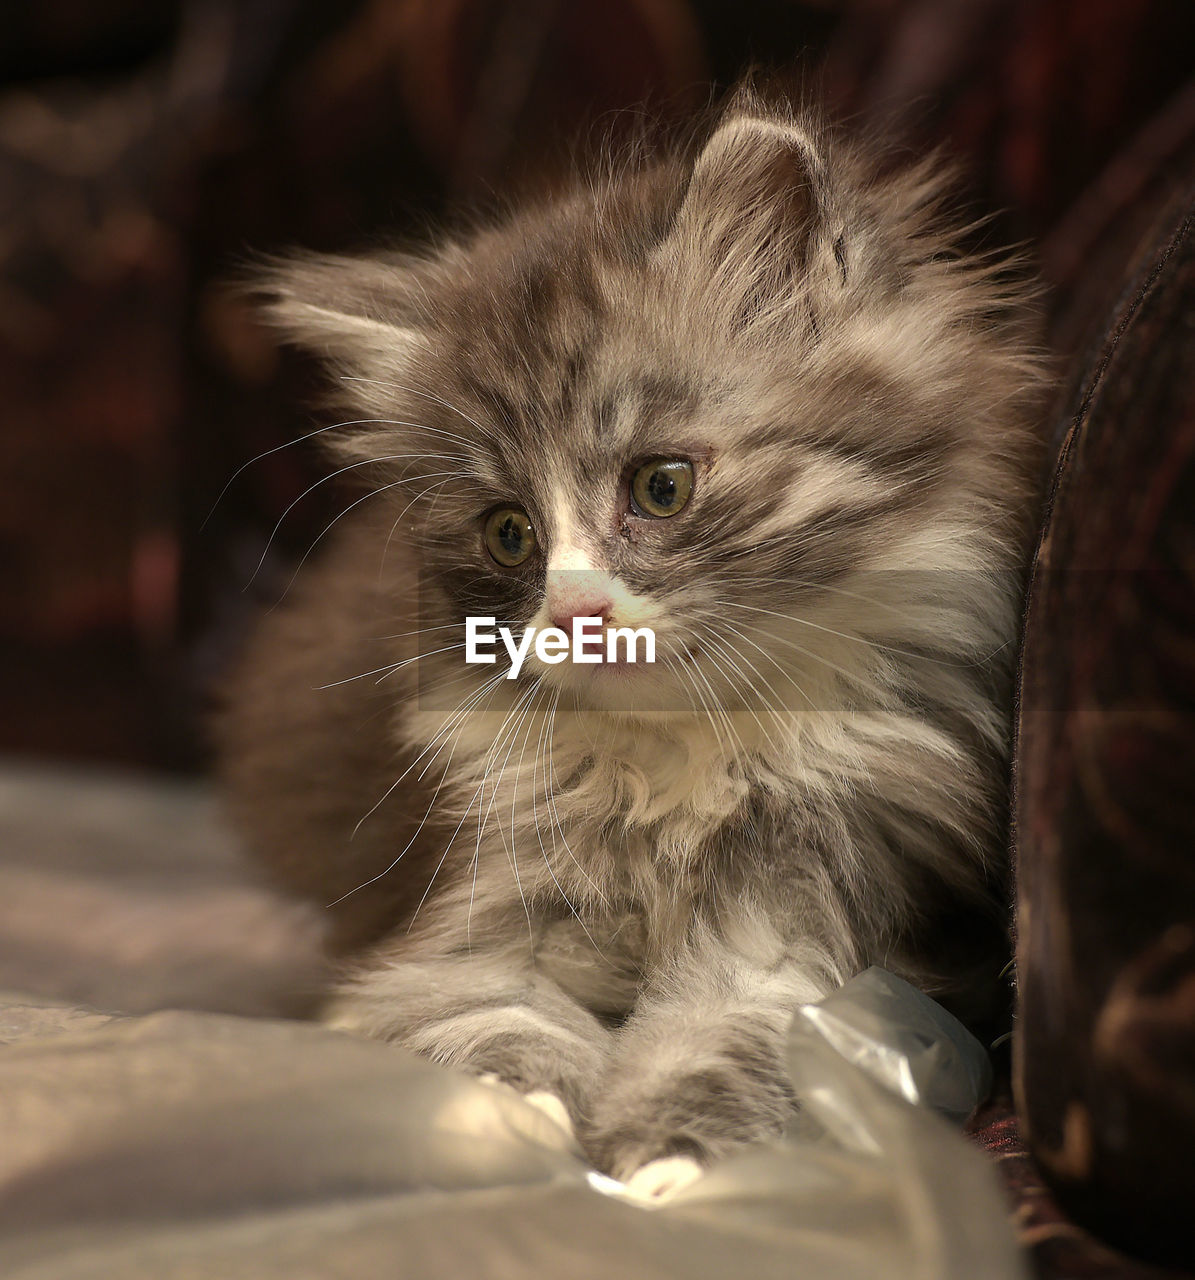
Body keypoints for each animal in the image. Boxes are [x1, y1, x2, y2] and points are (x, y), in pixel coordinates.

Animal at [217, 90, 1049, 1182]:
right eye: (509, 533)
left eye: (661, 486)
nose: (578, 613)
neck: (683, 761)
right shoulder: (469, 908)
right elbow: (486, 1012)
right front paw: (518, 1108)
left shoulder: (828, 910)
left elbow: (735, 1032)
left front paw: (670, 1158)